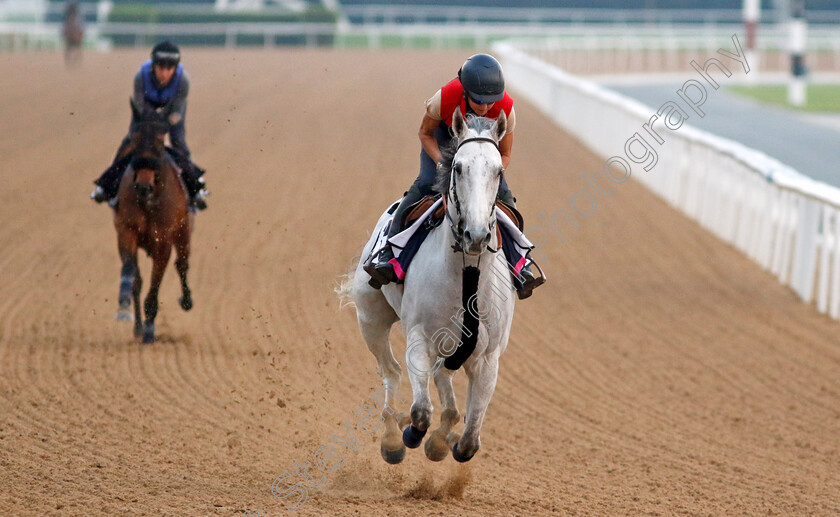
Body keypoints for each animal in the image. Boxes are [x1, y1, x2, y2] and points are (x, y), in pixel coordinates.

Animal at [113, 100, 194, 342]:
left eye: (159, 142)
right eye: (135, 139)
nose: (143, 186)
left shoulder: (163, 241)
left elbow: (155, 284)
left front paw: (150, 329)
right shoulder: (126, 230)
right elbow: (132, 274)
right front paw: (125, 309)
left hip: (184, 233)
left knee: (182, 264)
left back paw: (186, 300)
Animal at [342, 110, 516, 464]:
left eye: (498, 170)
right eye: (458, 167)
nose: (476, 234)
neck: (467, 274)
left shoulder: (488, 357)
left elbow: (470, 440)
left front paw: (444, 442)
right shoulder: (419, 338)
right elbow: (421, 411)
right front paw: (413, 434)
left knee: (442, 376)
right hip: (371, 318)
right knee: (391, 370)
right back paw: (392, 437)